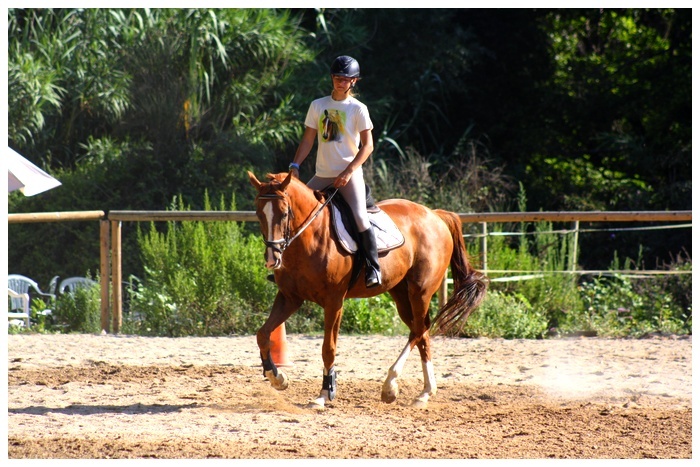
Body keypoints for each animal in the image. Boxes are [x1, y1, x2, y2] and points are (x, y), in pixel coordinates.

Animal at [250, 173, 486, 410]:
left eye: (285, 213)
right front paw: (277, 378)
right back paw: (423, 392)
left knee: (420, 329)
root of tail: (435, 215)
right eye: (259, 213)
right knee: (421, 332)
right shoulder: (290, 298)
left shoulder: (334, 302)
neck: (310, 236)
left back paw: (393, 385)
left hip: (420, 291)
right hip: (400, 293)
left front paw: (325, 394)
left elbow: (328, 348)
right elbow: (262, 334)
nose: (272, 259)